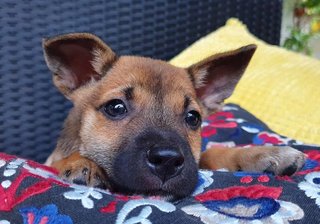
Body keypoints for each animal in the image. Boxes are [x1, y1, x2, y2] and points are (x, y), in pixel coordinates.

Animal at [42, 32, 304, 198]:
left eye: (193, 118)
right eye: (116, 108)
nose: (167, 161)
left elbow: (212, 152)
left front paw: (265, 153)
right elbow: (60, 161)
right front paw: (81, 163)